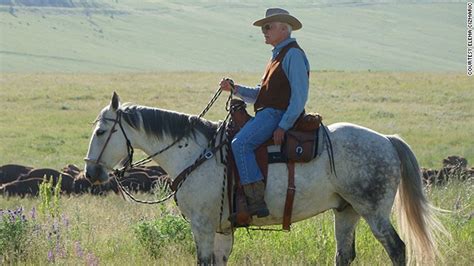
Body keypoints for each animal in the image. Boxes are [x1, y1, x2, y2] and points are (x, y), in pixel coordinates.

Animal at [83, 92, 446, 264]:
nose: (90, 172)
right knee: (344, 254)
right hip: (347, 211)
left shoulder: (202, 226)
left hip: (374, 211)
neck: (195, 153)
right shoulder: (221, 230)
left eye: (101, 131)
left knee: (397, 249)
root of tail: (386, 139)